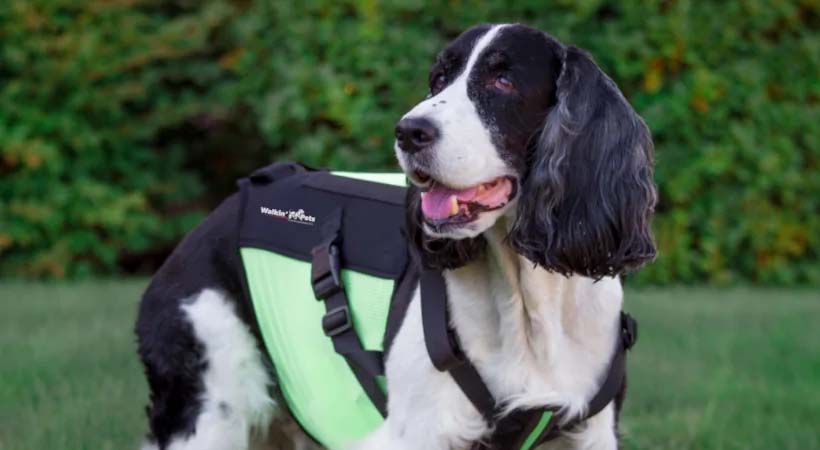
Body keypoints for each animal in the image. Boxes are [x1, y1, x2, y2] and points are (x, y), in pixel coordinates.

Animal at [138, 22, 656, 450]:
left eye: (503, 81)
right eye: (438, 79)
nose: (409, 131)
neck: (527, 299)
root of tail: (225, 206)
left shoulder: (589, 434)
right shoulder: (418, 431)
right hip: (208, 399)